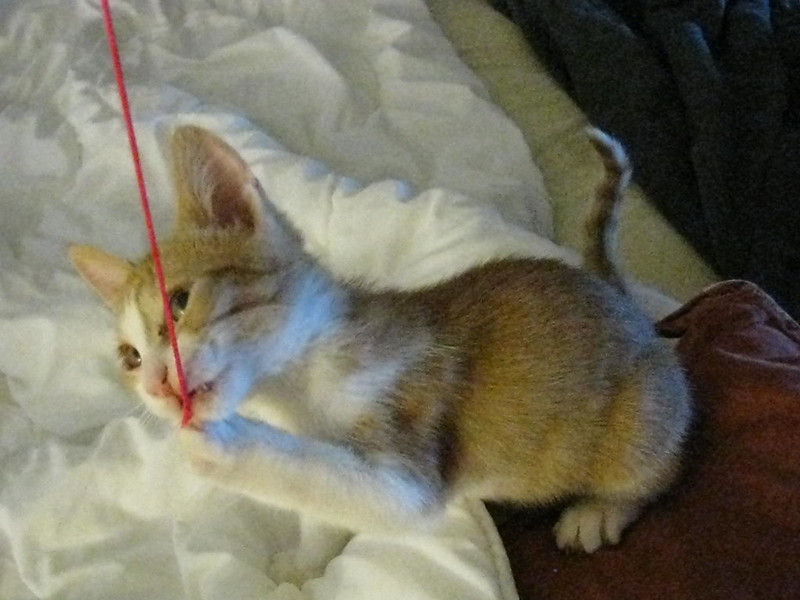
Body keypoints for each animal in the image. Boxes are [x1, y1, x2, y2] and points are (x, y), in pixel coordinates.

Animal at [70, 124, 692, 560]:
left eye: (179, 301)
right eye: (129, 356)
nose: (154, 383)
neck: (300, 387)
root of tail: (619, 297)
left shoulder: (411, 435)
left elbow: (353, 484)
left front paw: (230, 446)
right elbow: (329, 501)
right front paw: (306, 565)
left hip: (640, 414)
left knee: (654, 466)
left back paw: (600, 510)